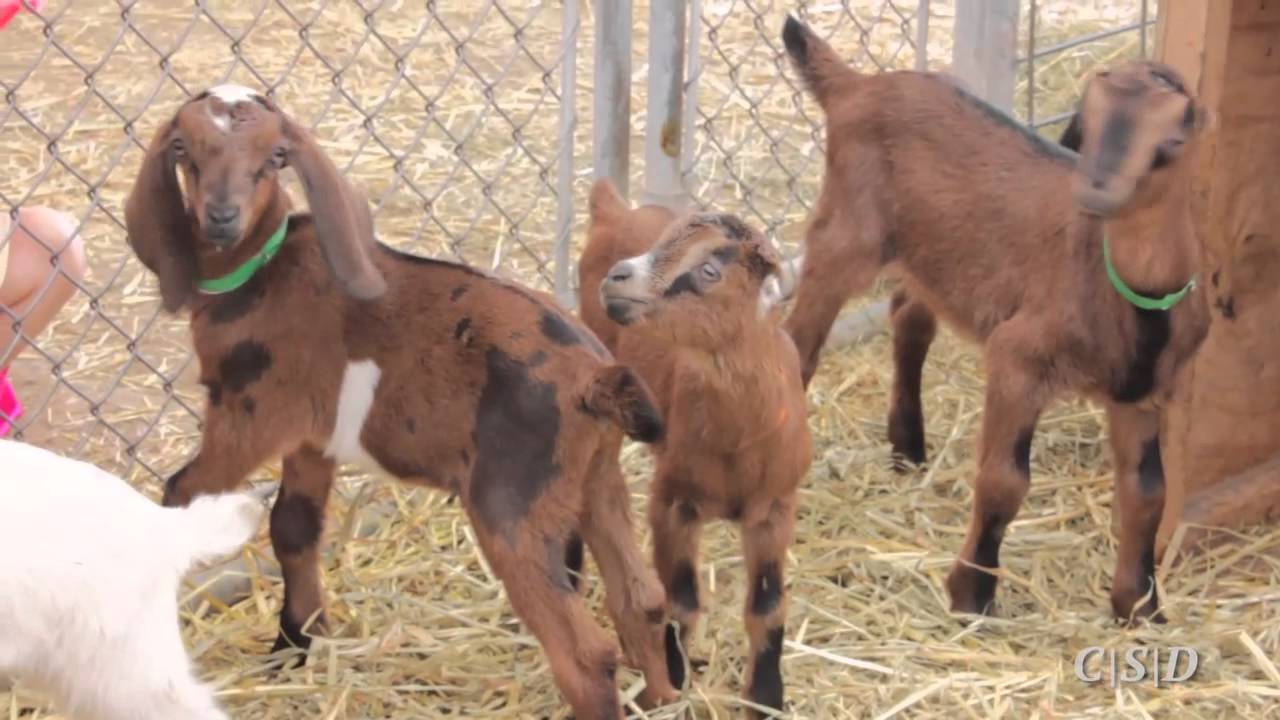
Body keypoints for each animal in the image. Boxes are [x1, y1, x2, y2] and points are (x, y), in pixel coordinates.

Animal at [120, 84, 678, 718]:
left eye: (275, 155)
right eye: (184, 148)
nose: (220, 216)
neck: (259, 273)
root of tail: (596, 378)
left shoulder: (249, 416)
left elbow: (180, 490)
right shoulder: (314, 435)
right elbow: (294, 527)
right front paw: (296, 642)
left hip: (510, 503)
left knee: (585, 654)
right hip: (597, 480)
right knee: (642, 597)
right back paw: (662, 698)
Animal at [579, 180, 813, 718]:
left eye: (710, 269)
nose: (617, 278)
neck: (738, 444)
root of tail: (614, 208)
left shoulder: (776, 507)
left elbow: (768, 607)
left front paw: (766, 697)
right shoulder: (673, 502)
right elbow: (680, 599)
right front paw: (673, 680)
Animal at [779, 17, 1212, 624]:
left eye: (1171, 141)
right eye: (1089, 125)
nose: (1095, 191)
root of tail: (857, 86)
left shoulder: (1142, 392)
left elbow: (1148, 492)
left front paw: (1139, 606)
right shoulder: (1019, 358)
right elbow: (1005, 481)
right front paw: (972, 594)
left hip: (933, 255)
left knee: (910, 320)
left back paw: (908, 447)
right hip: (845, 232)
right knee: (801, 344)